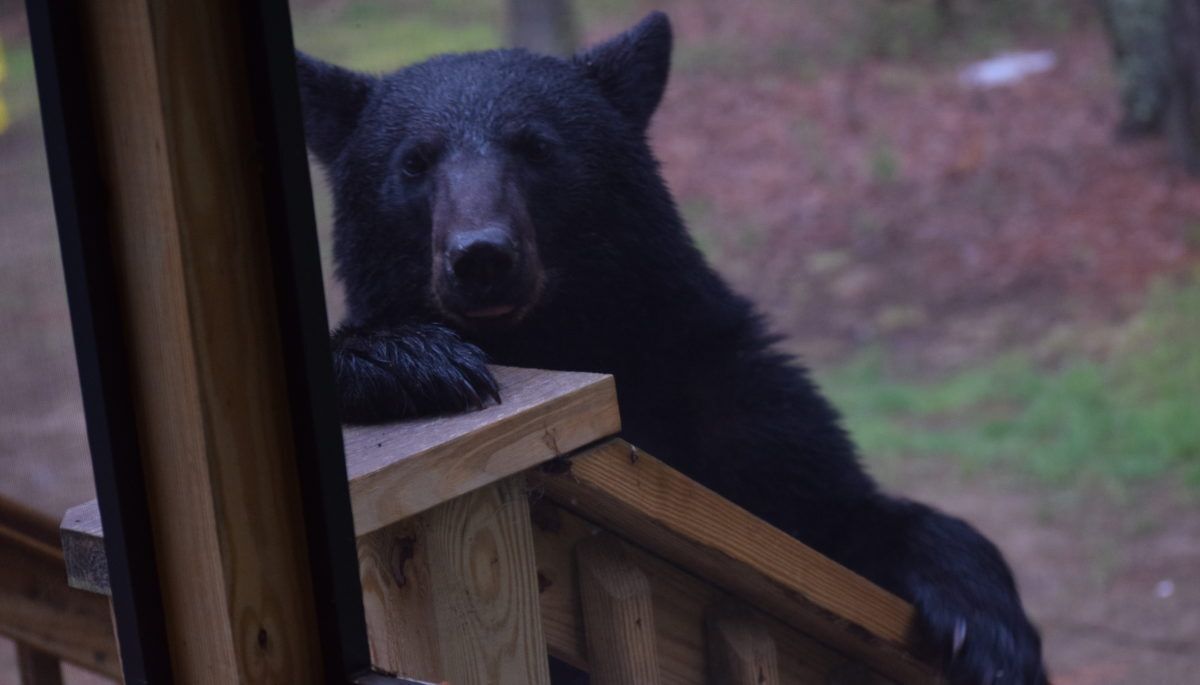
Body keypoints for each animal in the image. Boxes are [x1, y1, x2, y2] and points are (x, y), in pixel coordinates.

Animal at [297, 12, 1047, 684]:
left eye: (536, 147)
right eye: (414, 163)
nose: (481, 256)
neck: (554, 335)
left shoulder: (723, 392)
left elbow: (835, 515)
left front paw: (992, 634)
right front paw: (407, 360)